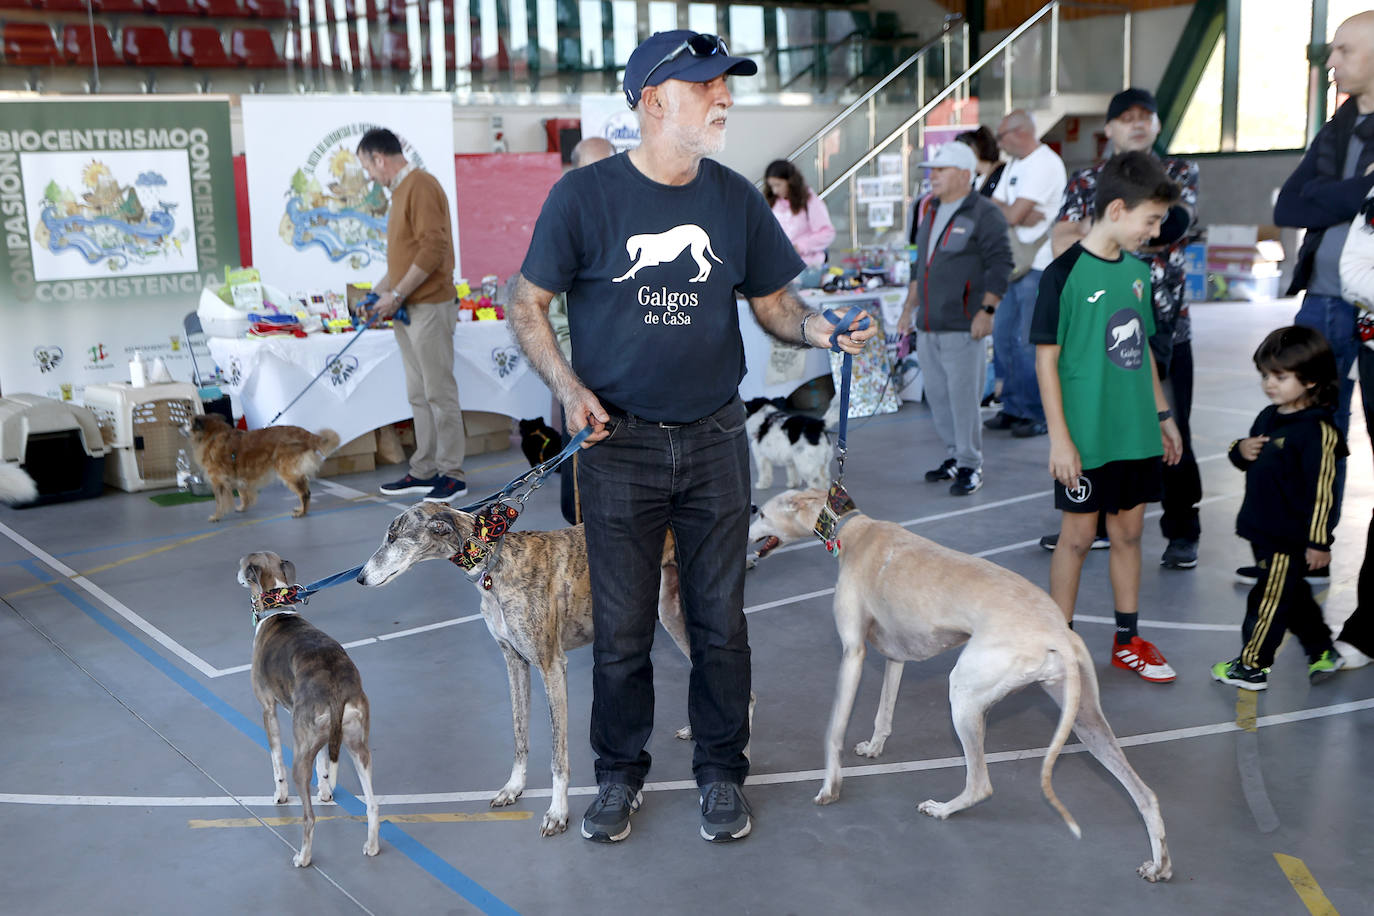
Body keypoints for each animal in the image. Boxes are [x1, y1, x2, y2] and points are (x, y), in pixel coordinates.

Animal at [188, 414, 340, 521]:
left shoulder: (218, 481)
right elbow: (243, 495)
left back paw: (302, 513)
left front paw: (216, 516)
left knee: (304, 493)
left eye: (189, 423)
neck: (213, 435)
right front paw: (243, 507)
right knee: (306, 491)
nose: (182, 424)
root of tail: (306, 434)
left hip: (287, 471)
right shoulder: (238, 477)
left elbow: (220, 502)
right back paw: (302, 509)